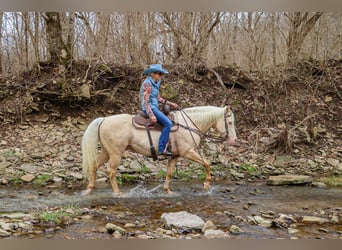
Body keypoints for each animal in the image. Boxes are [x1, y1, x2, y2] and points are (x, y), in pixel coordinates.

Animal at [82, 105, 238, 195]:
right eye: (230, 122)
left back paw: (89, 189)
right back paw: (118, 193)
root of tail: (104, 120)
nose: (234, 140)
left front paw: (168, 190)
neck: (188, 125)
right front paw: (206, 185)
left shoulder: (175, 156)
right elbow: (206, 163)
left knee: (95, 165)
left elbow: (169, 172)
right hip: (115, 154)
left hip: (106, 152)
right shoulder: (188, 152)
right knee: (111, 171)